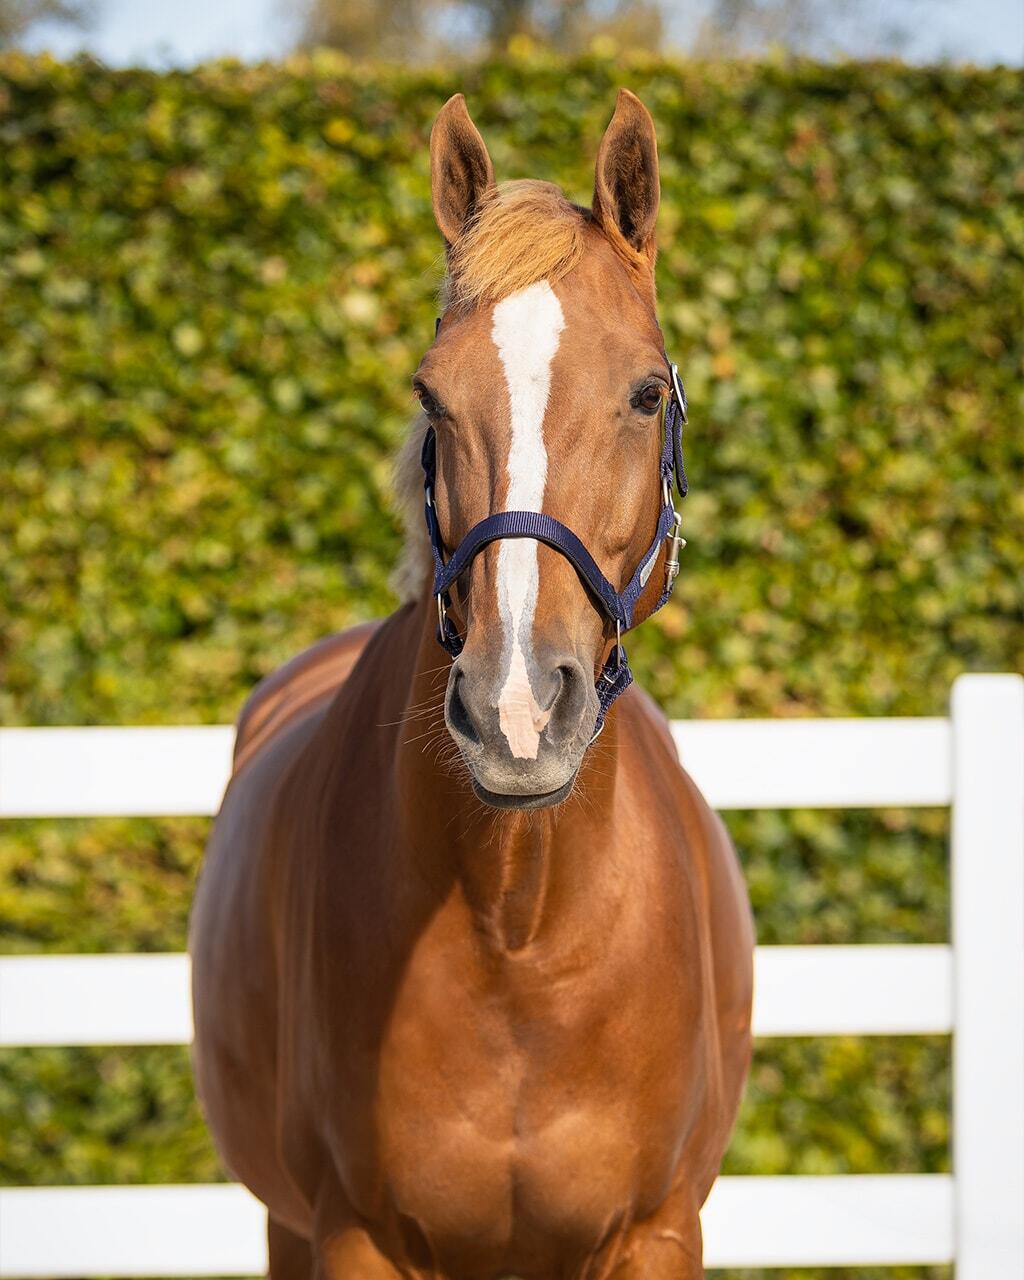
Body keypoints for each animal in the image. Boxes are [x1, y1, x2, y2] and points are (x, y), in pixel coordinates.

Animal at [190, 88, 754, 1280]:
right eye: (429, 395)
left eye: (646, 391)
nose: (516, 711)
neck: (519, 927)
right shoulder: (354, 1236)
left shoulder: (655, 1233)